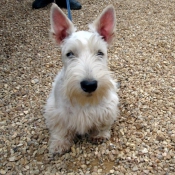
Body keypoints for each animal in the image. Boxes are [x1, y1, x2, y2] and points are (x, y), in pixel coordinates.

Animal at [44, 3, 119, 154]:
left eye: (100, 53)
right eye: (70, 54)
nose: (89, 85)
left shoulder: (108, 107)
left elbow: (102, 124)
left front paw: (99, 135)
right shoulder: (56, 111)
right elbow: (60, 129)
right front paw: (59, 143)